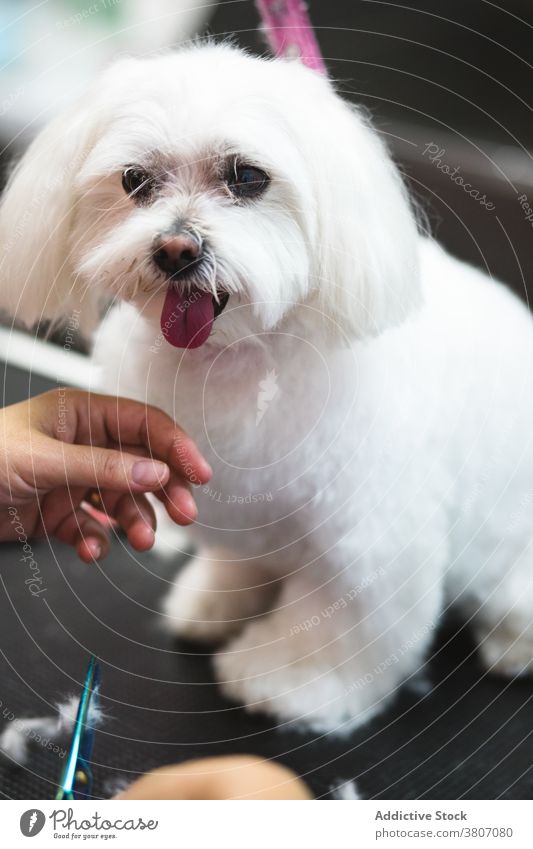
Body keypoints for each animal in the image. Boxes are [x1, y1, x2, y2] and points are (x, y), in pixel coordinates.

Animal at [1, 46, 532, 732]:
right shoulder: (247, 506)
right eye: (134, 180)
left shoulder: (370, 539)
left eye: (247, 177)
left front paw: (290, 680)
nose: (176, 248)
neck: (239, 356)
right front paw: (214, 602)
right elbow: (243, 561)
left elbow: (342, 623)